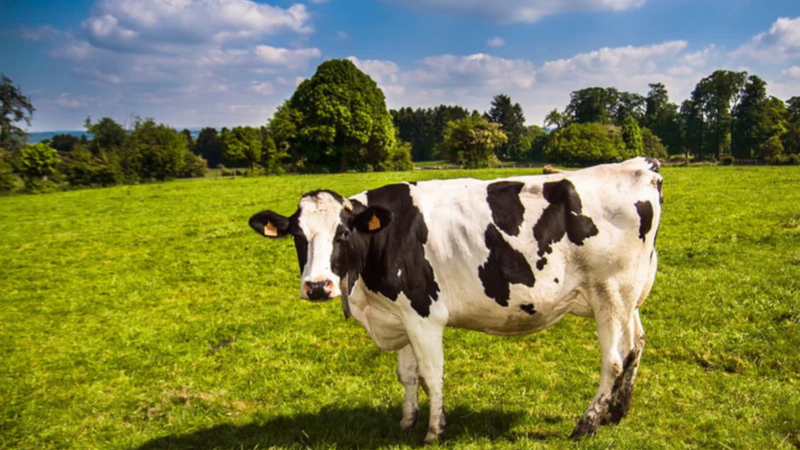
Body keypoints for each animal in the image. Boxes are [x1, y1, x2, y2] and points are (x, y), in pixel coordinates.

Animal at [248, 157, 663, 443]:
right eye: (298, 236)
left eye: (343, 233)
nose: (318, 286)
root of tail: (639, 166)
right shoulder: (399, 314)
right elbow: (407, 374)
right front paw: (407, 421)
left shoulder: (423, 314)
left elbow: (431, 374)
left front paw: (434, 430)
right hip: (628, 296)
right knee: (635, 346)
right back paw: (616, 412)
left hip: (610, 292)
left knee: (613, 361)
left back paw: (587, 424)